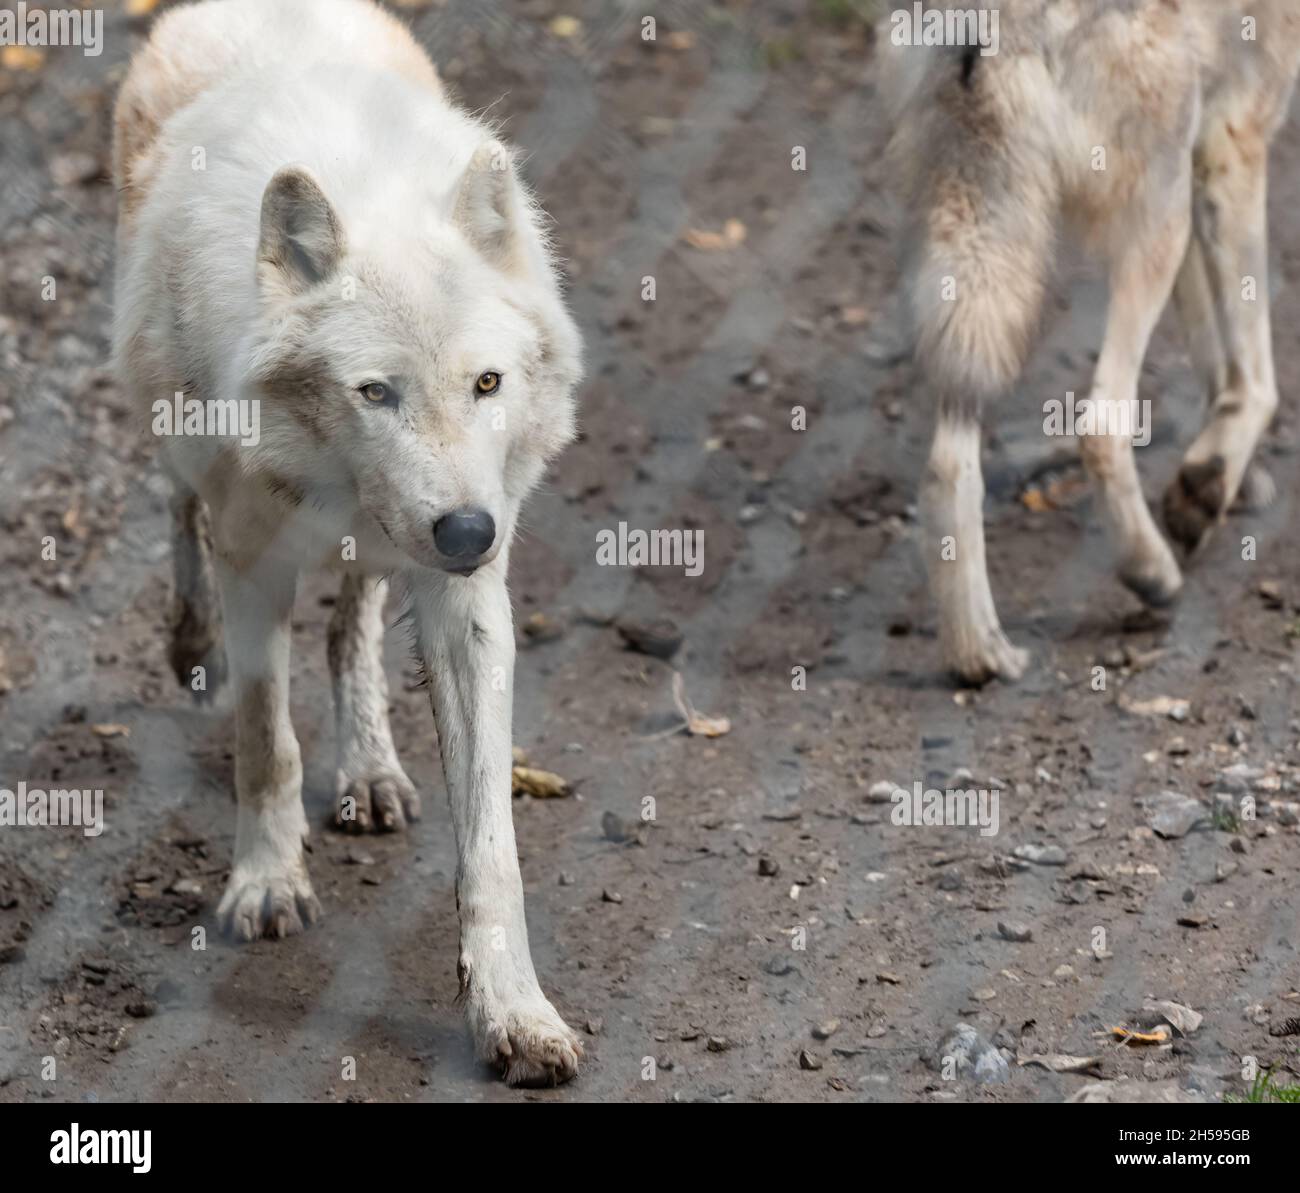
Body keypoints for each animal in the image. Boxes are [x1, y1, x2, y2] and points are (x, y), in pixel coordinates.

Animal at [114, 0, 582, 1081]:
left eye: (487, 383)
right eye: (375, 391)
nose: (468, 528)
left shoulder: (469, 597)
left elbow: (491, 844)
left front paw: (513, 1012)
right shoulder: (254, 563)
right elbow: (267, 742)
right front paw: (266, 882)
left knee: (355, 623)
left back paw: (369, 769)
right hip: (166, 425)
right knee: (179, 514)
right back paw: (189, 638)